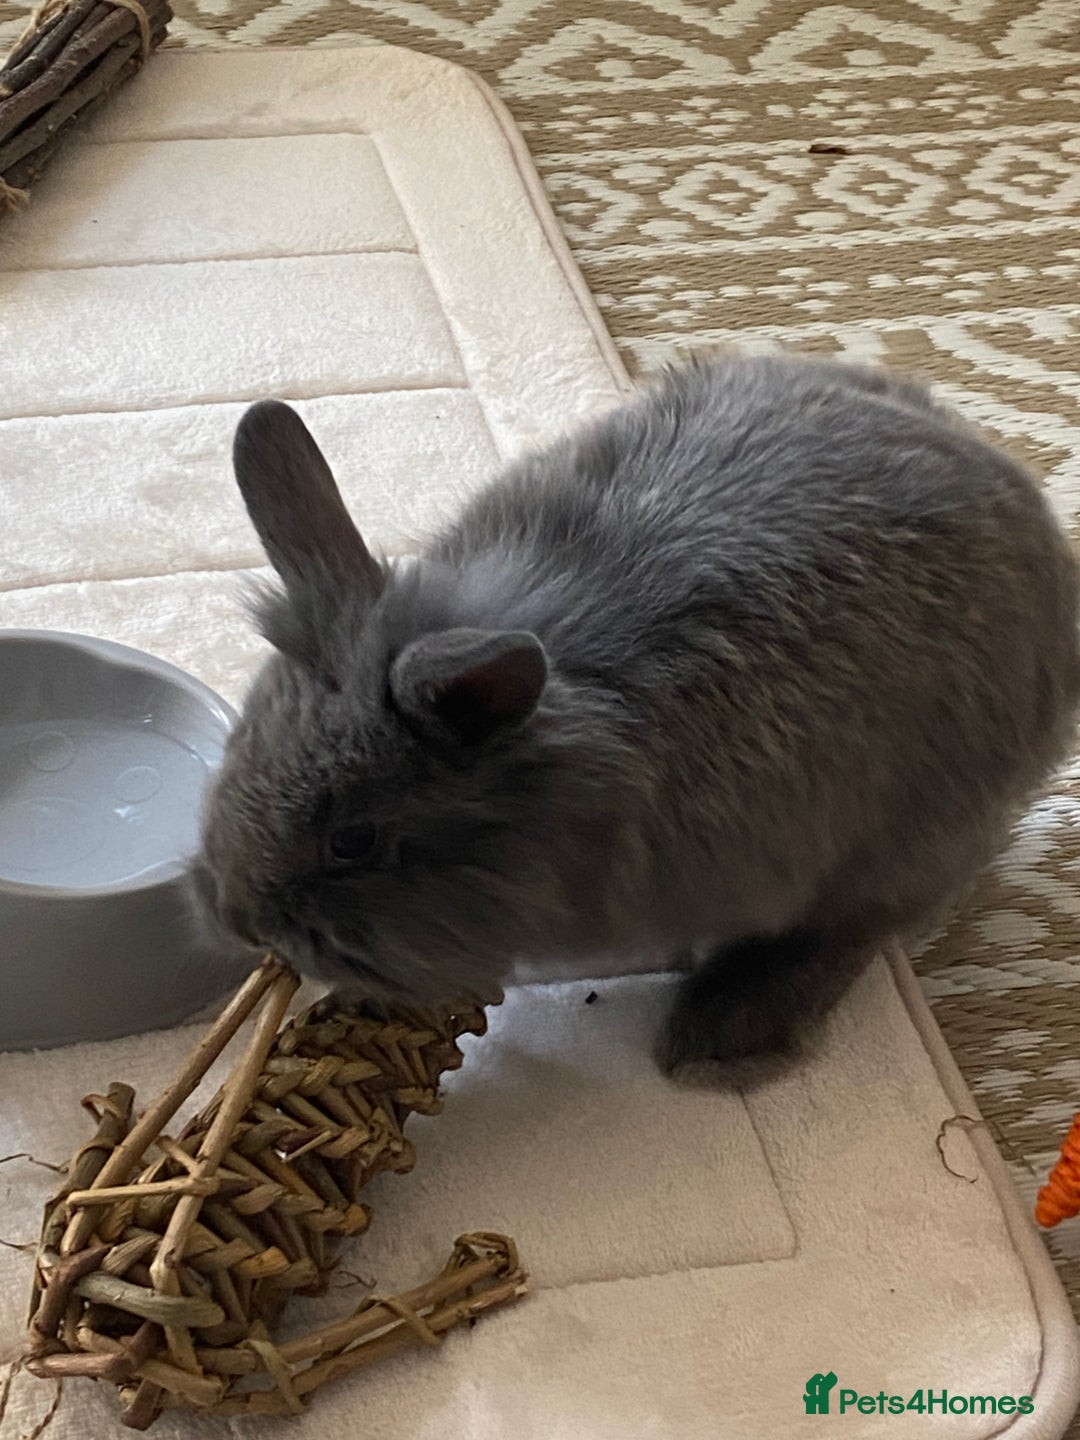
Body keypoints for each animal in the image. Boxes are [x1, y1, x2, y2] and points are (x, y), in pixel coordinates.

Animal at [192, 350, 1080, 1083]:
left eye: (353, 840)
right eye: (240, 743)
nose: (239, 920)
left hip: (911, 834)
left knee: (858, 926)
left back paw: (721, 1037)